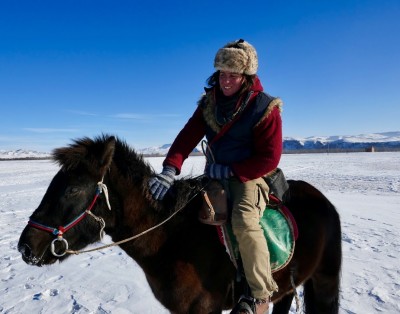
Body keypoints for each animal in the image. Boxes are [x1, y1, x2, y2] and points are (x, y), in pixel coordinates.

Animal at [15, 136, 340, 314]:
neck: (171, 238)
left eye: (72, 189)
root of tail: (322, 200)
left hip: (324, 278)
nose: (26, 246)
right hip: (287, 286)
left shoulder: (204, 309)